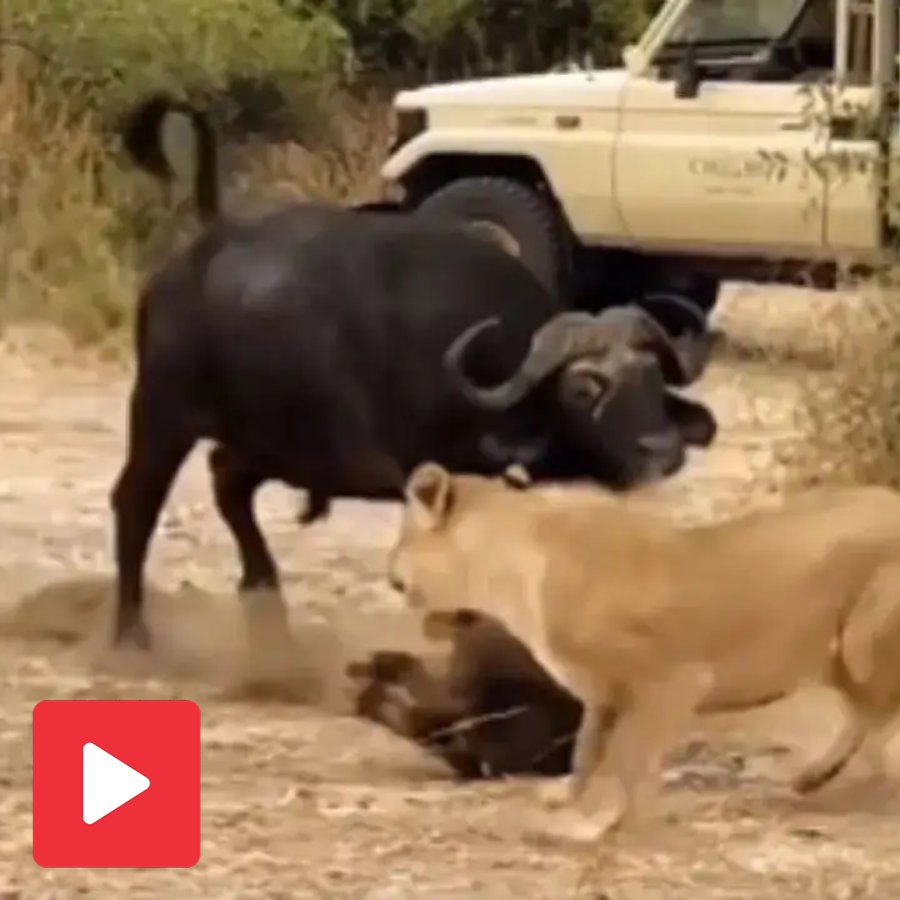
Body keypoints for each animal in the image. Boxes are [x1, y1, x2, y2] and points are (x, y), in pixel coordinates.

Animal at [385, 461, 900, 843]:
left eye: (402, 534)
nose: (390, 570)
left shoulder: (673, 680)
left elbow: (622, 756)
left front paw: (584, 821)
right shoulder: (602, 696)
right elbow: (587, 752)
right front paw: (574, 798)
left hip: (859, 644)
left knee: (878, 716)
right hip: (838, 657)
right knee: (865, 716)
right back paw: (814, 778)